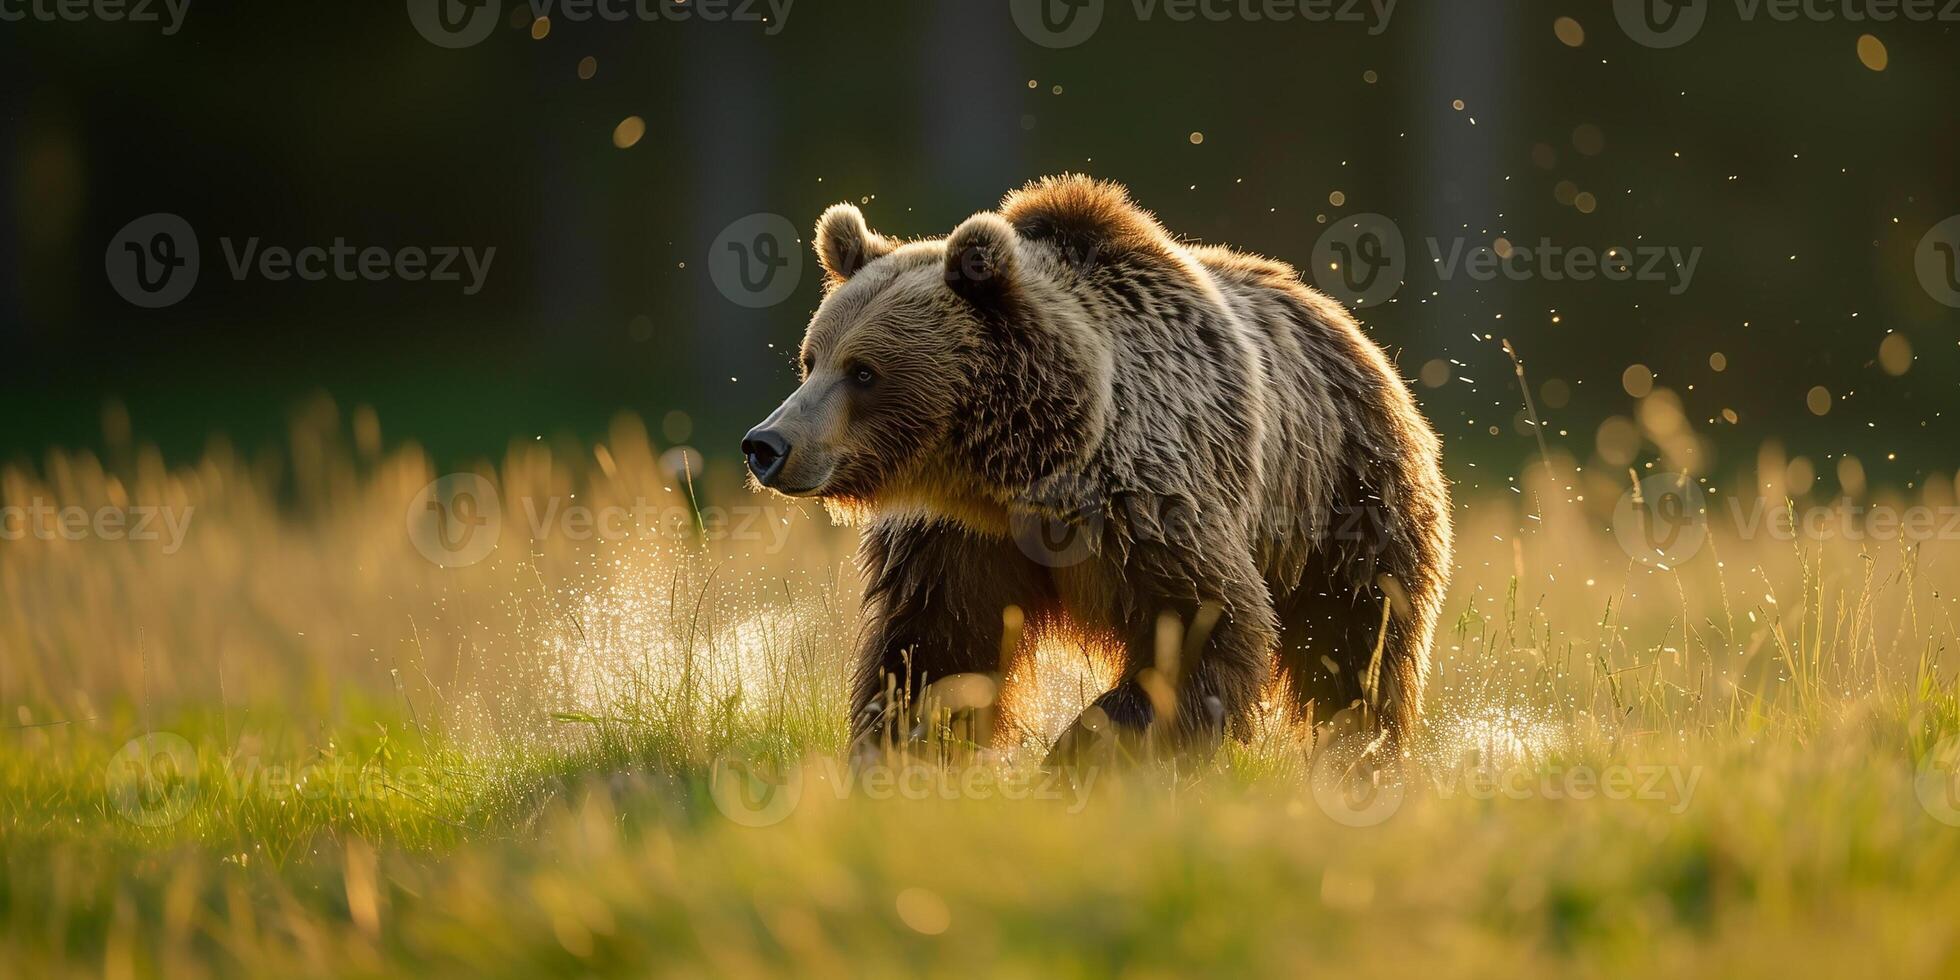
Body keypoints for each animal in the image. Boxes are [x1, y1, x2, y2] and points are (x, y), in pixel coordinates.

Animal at [742, 175, 1451, 764]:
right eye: (812, 359)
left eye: (864, 372)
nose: (766, 443)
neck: (1016, 473)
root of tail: (1353, 332)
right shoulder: (957, 542)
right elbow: (935, 650)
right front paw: (899, 749)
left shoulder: (1148, 507)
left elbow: (1203, 624)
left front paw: (1083, 757)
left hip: (1344, 498)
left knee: (1357, 646)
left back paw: (1363, 752)